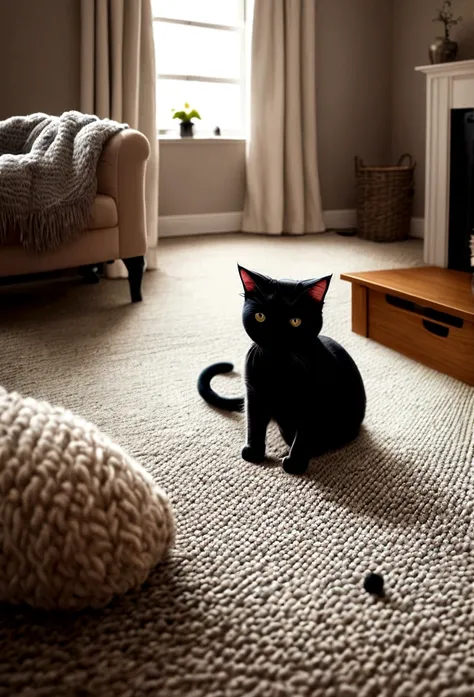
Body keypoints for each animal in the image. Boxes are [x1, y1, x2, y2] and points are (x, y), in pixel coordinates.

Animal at [197, 266, 366, 474]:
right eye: (260, 316)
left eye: (295, 321)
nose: (275, 336)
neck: (277, 367)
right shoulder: (254, 393)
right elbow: (254, 423)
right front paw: (254, 453)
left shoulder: (312, 401)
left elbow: (303, 435)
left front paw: (295, 463)